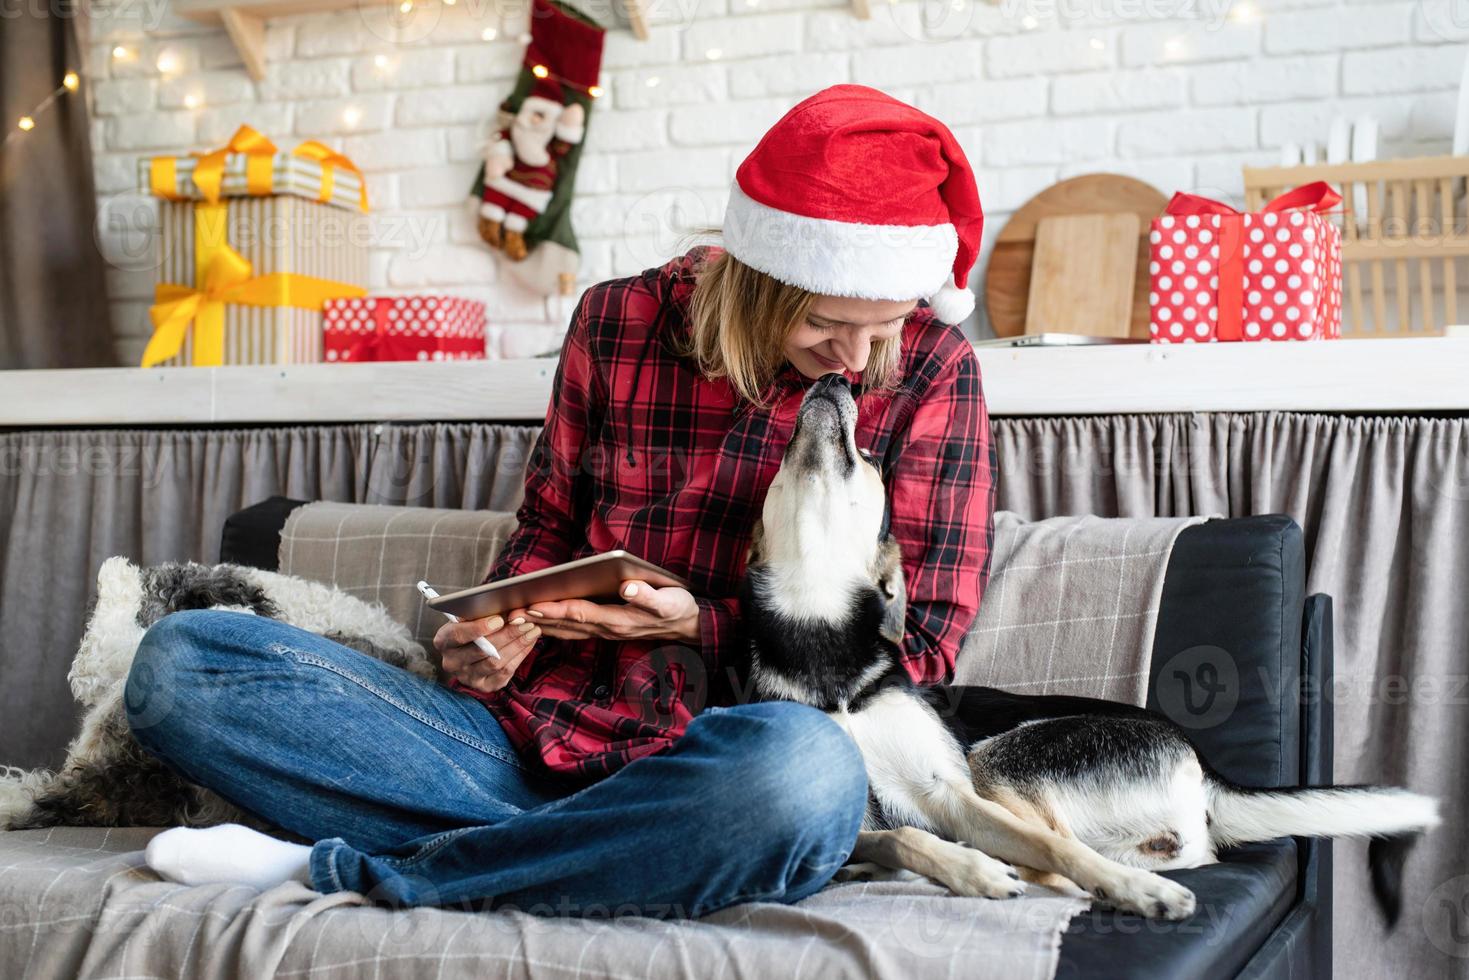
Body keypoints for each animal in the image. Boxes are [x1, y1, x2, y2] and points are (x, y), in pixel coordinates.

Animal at [740, 371, 1439, 922]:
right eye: (779, 473)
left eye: (866, 456)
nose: (835, 379)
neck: (827, 658)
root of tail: (1204, 766)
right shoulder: (852, 828)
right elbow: (905, 840)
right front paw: (966, 869)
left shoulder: (952, 792)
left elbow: (1044, 848)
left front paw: (1130, 892)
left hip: (999, 760)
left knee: (1053, 856)